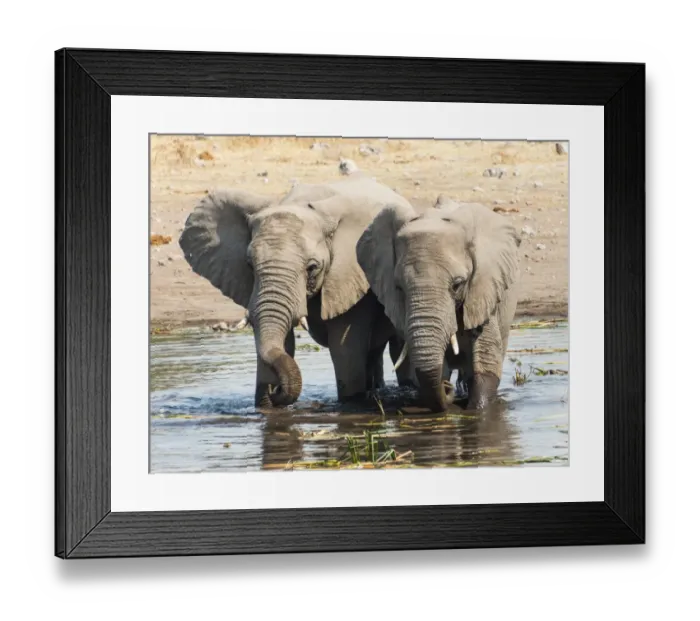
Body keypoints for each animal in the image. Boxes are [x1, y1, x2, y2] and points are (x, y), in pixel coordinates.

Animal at [179, 173, 411, 408]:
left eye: (312, 268)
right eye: (249, 265)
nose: (275, 391)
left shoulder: (348, 275)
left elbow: (345, 350)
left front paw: (349, 403)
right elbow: (283, 341)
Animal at [356, 195, 521, 413]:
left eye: (457, 285)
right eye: (399, 288)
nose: (447, 388)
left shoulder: (483, 289)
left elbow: (486, 358)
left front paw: (478, 410)